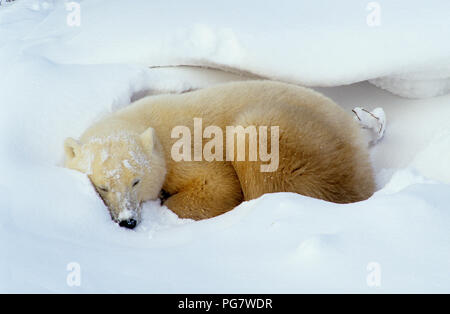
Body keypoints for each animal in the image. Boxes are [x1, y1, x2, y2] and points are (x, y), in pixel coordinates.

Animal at [65, 80, 378, 228]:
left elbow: (218, 184)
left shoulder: (182, 147)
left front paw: (168, 201)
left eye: (136, 181)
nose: (127, 221)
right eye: (102, 186)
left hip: (310, 144)